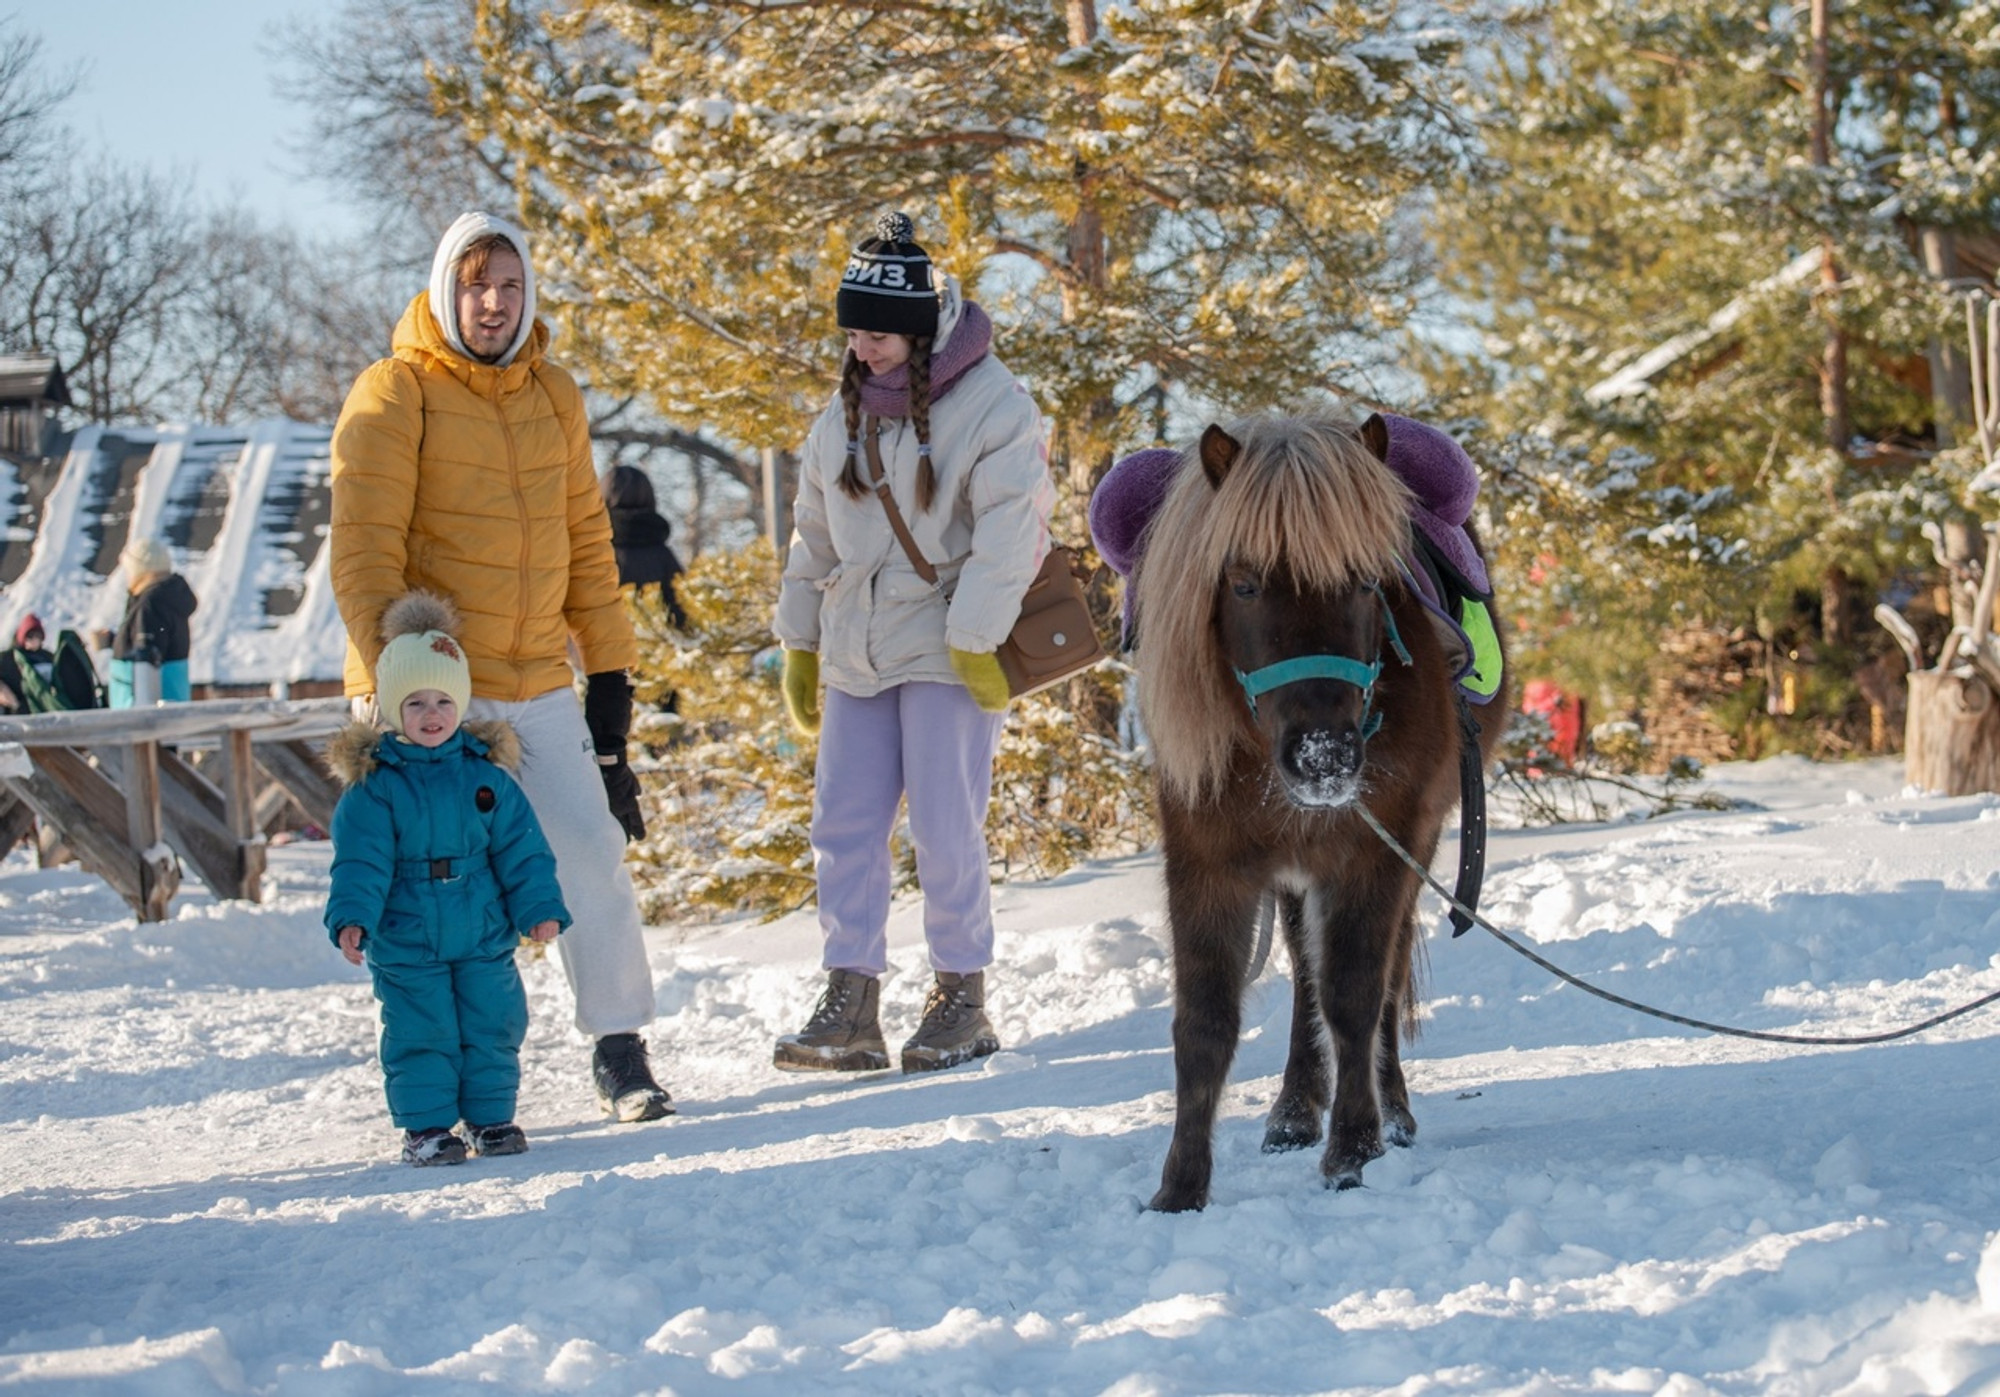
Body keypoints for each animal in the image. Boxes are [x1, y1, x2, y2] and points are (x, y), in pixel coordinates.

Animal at [1136, 406, 1504, 1208]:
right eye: (1243, 585)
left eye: (1367, 581)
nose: (1325, 757)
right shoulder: (1206, 861)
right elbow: (1205, 1022)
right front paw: (1179, 1189)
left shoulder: (1374, 851)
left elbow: (1356, 995)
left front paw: (1354, 1148)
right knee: (1306, 978)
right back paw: (1293, 1113)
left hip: (1417, 842)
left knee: (1380, 979)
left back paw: (1391, 1113)